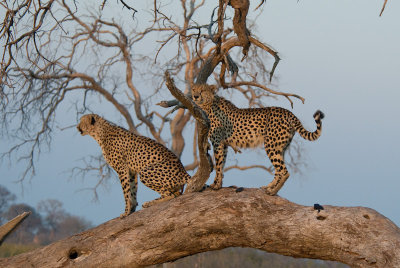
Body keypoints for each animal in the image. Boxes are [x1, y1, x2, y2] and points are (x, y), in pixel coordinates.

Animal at [191, 84, 324, 195]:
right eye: (194, 89)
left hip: (271, 145)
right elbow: (222, 164)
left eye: (202, 90)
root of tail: (288, 112)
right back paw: (268, 187)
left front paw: (216, 185)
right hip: (281, 147)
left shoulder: (218, 143)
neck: (208, 104)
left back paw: (273, 191)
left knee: (284, 171)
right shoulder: (224, 145)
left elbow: (218, 165)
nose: (195, 96)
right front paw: (219, 183)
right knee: (278, 170)